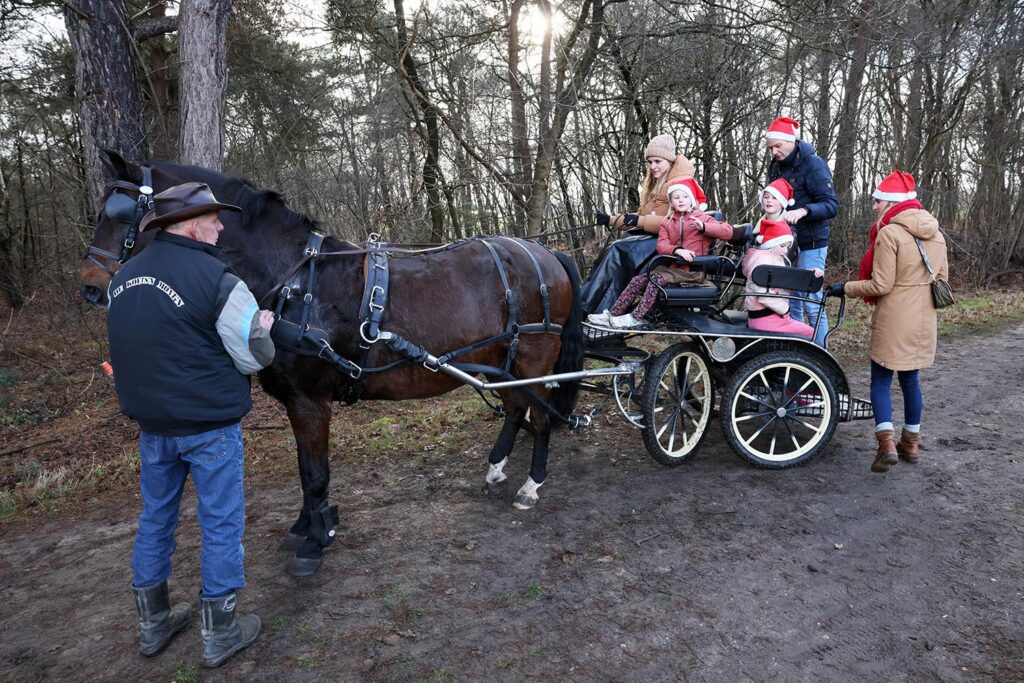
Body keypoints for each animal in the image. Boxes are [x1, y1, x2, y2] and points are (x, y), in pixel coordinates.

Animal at [79, 153, 585, 577]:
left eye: (120, 212)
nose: (89, 286)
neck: (297, 284)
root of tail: (545, 253)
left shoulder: (309, 401)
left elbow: (316, 472)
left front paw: (315, 541)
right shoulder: (295, 402)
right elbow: (306, 470)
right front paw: (307, 526)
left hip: (534, 359)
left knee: (540, 417)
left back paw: (531, 486)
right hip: (504, 361)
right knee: (516, 409)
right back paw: (496, 469)